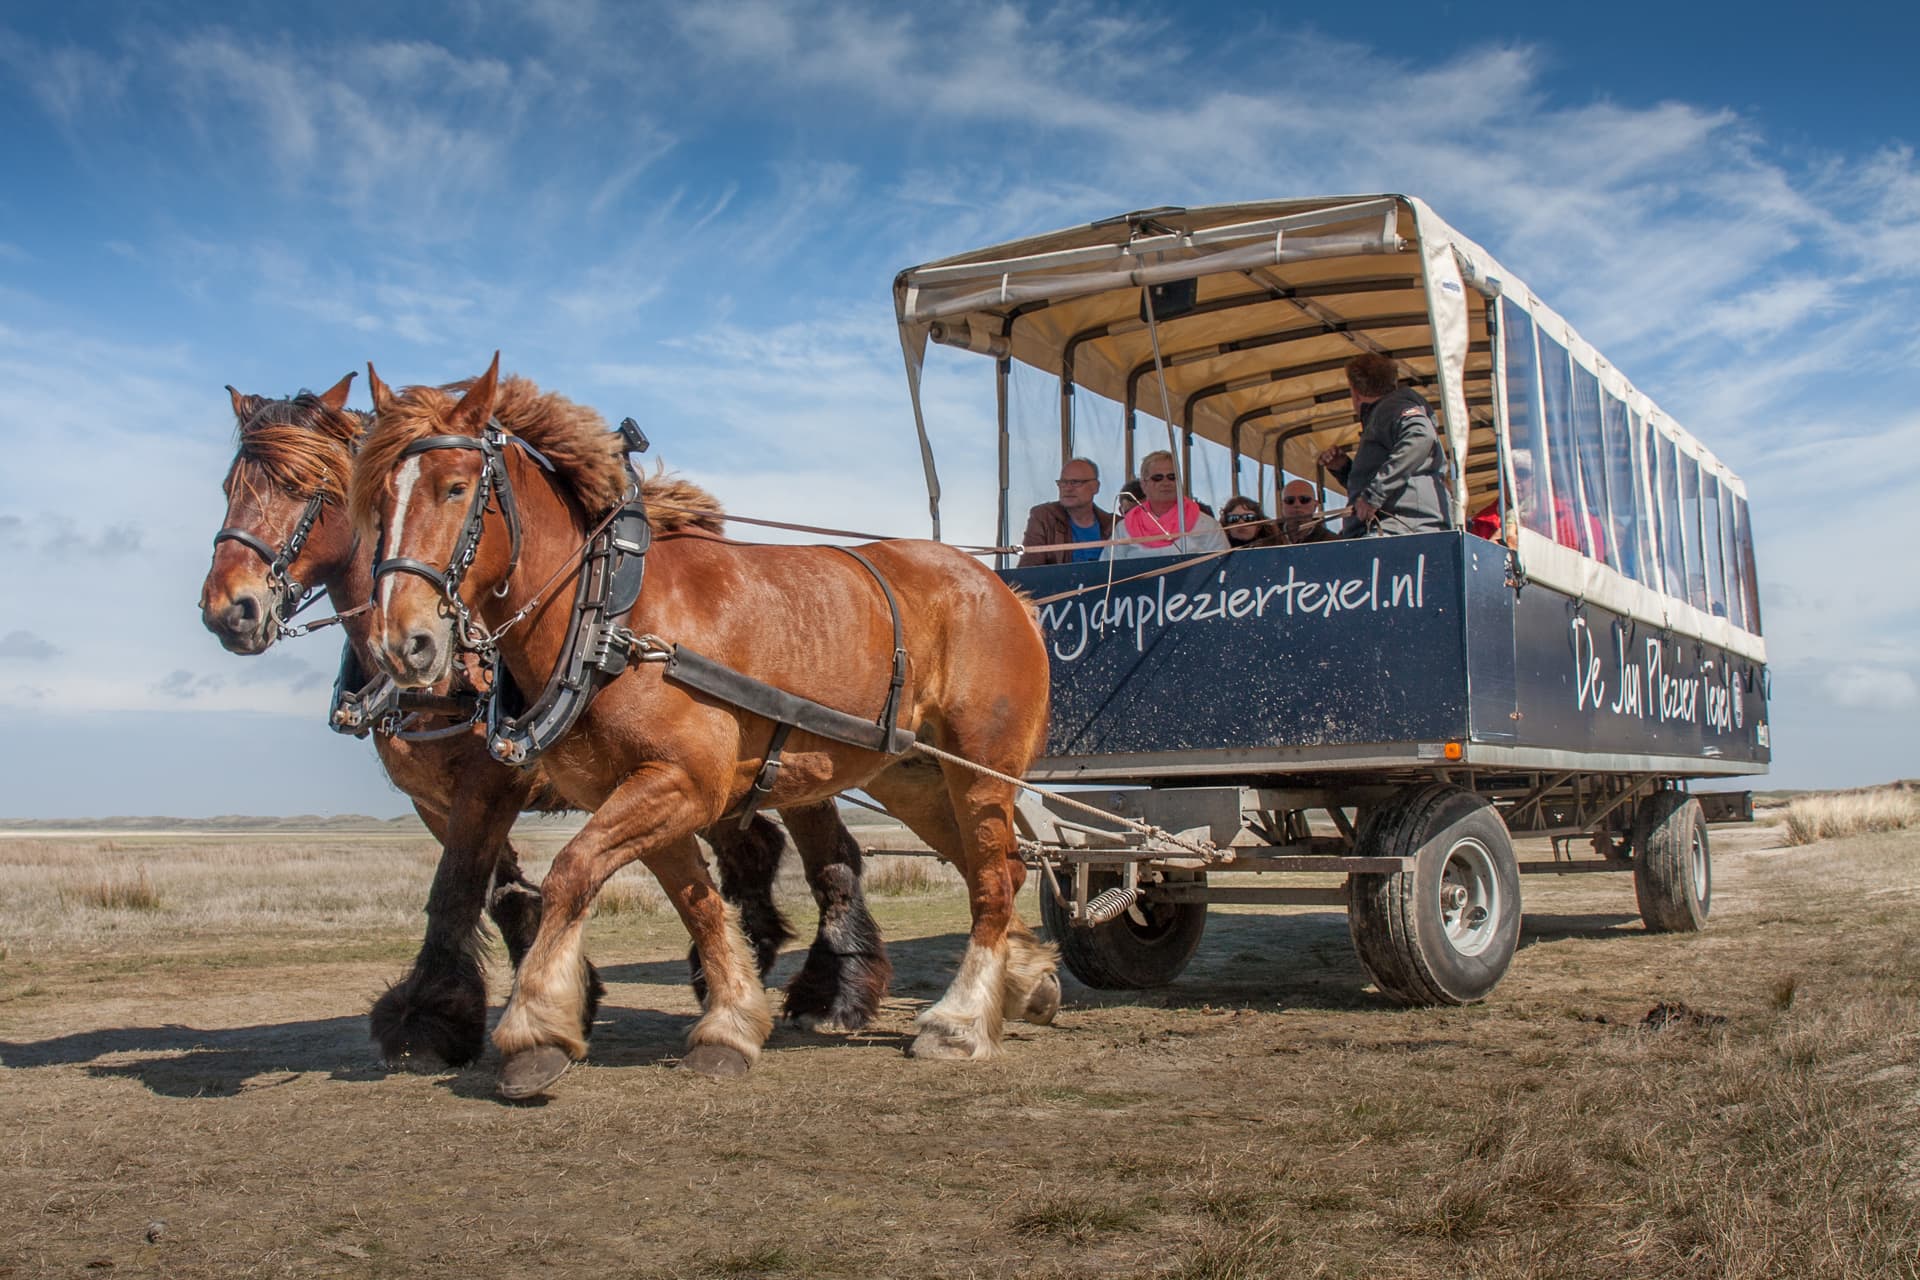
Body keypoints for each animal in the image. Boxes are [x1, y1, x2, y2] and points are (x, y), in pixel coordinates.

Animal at [198, 372, 887, 1074]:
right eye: (229, 488)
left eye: (309, 486)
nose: (229, 609)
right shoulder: (433, 798)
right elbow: (497, 892)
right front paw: (555, 995)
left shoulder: (491, 783)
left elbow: (457, 888)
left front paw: (431, 1019)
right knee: (754, 850)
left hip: (796, 768)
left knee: (830, 859)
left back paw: (833, 992)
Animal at [353, 355, 1059, 1097]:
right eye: (377, 503)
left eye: (456, 488)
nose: (403, 644)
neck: (611, 614)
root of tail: (1005, 592)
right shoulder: (646, 793)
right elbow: (697, 904)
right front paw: (730, 1021)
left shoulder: (681, 783)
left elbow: (572, 874)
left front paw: (536, 1030)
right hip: (916, 779)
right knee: (1000, 869)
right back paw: (1023, 982)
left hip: (982, 770)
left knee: (990, 879)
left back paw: (960, 1021)